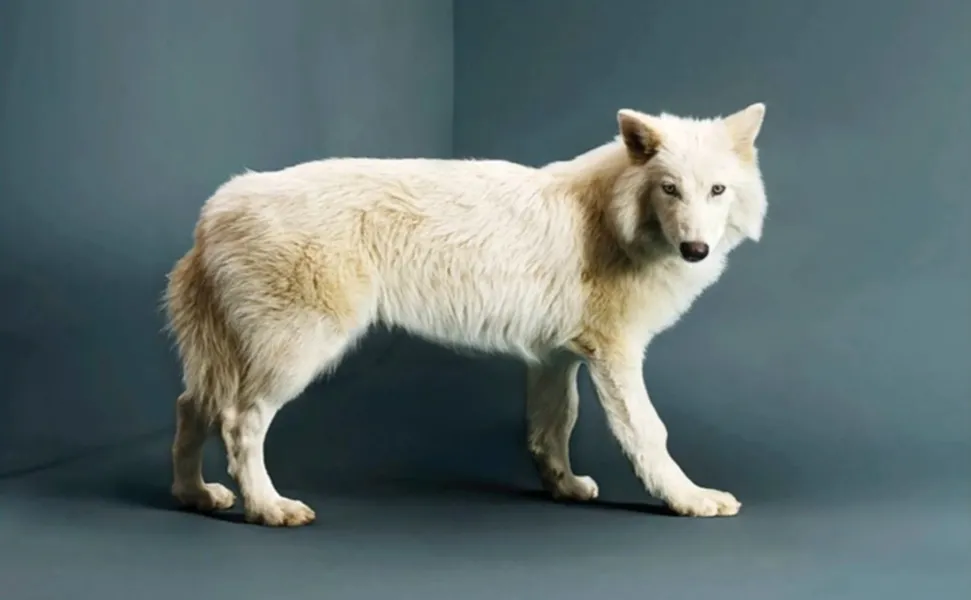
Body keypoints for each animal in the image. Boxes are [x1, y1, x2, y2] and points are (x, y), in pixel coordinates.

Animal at [164, 103, 769, 526]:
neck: (612, 218)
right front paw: (689, 499)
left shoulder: (555, 360)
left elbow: (554, 428)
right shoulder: (615, 355)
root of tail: (215, 209)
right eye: (670, 189)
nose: (696, 250)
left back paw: (195, 496)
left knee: (190, 406)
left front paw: (565, 488)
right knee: (239, 423)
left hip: (231, 359)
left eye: (717, 190)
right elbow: (649, 432)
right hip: (297, 354)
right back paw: (269, 508)